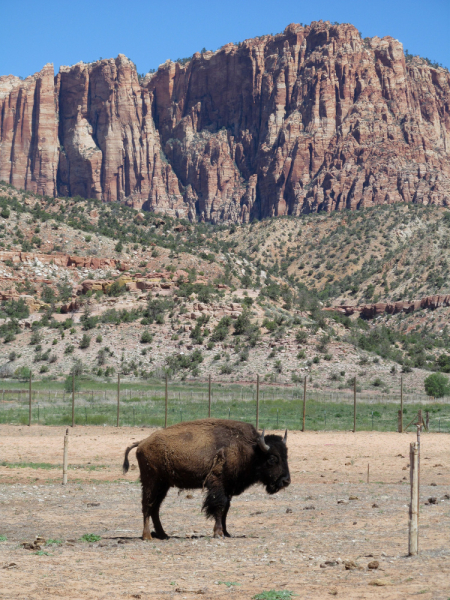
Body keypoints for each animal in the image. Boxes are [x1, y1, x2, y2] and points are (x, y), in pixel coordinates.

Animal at [124, 418, 288, 540]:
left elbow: (226, 509)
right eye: (272, 459)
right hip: (151, 481)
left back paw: (163, 535)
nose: (285, 481)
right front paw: (218, 533)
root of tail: (142, 443)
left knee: (155, 507)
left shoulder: (228, 487)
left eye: (286, 455)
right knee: (147, 505)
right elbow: (219, 506)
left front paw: (226, 532)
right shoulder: (218, 484)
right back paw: (147, 536)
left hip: (163, 485)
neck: (251, 450)